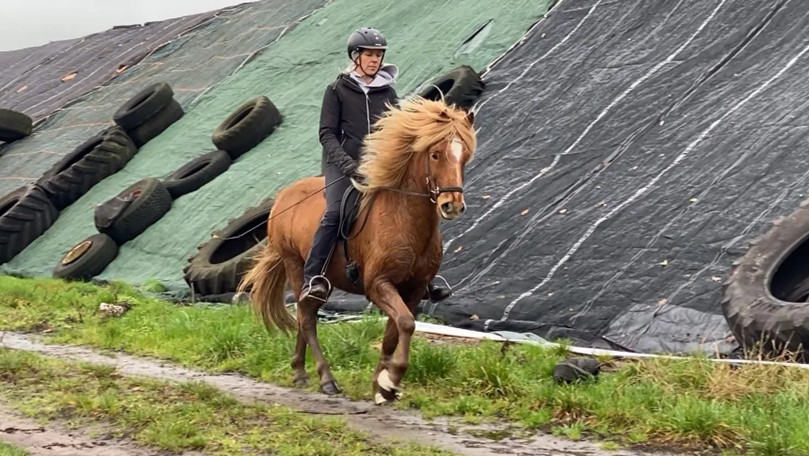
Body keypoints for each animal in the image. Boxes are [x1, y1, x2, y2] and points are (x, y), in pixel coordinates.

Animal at [237, 96, 476, 405]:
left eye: (464, 156)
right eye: (435, 155)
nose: (452, 205)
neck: (405, 219)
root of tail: (282, 198)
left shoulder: (413, 289)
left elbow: (395, 330)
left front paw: (381, 384)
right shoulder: (378, 284)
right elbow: (406, 323)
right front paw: (391, 380)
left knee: (305, 315)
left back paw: (300, 372)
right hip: (296, 267)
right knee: (306, 318)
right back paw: (325, 378)